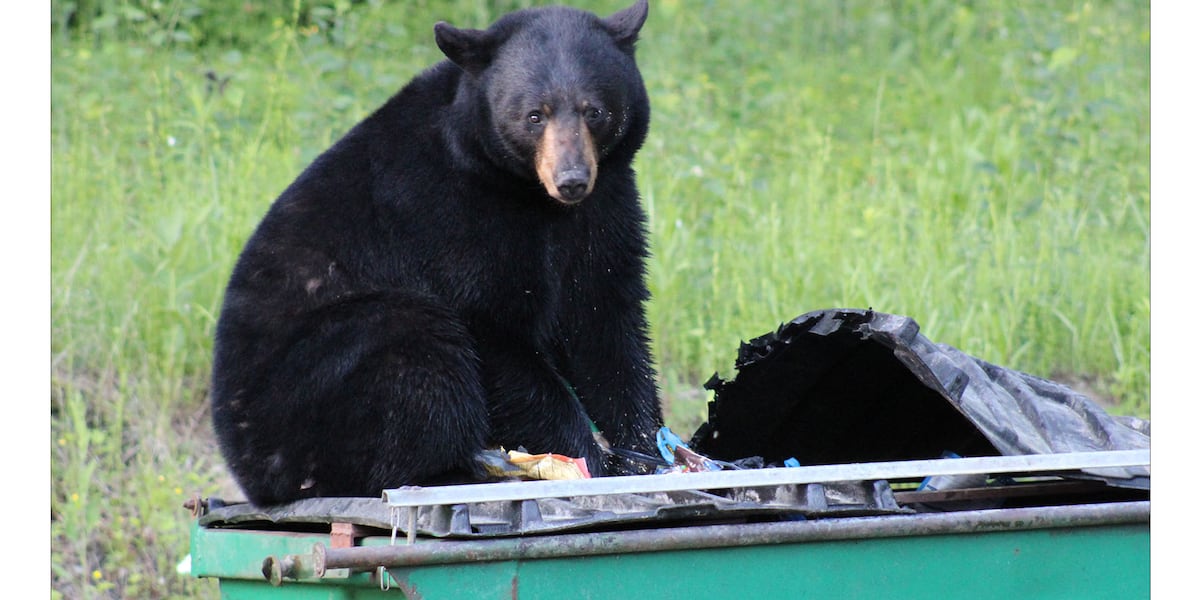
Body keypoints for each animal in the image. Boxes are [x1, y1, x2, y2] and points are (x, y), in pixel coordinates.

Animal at [210, 0, 663, 506]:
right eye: (534, 115)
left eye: (594, 111)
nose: (571, 179)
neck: (528, 195)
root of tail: (250, 475)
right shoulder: (449, 215)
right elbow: (492, 327)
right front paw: (585, 458)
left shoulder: (603, 207)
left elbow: (605, 320)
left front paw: (643, 453)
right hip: (312, 385)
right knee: (415, 348)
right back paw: (465, 468)